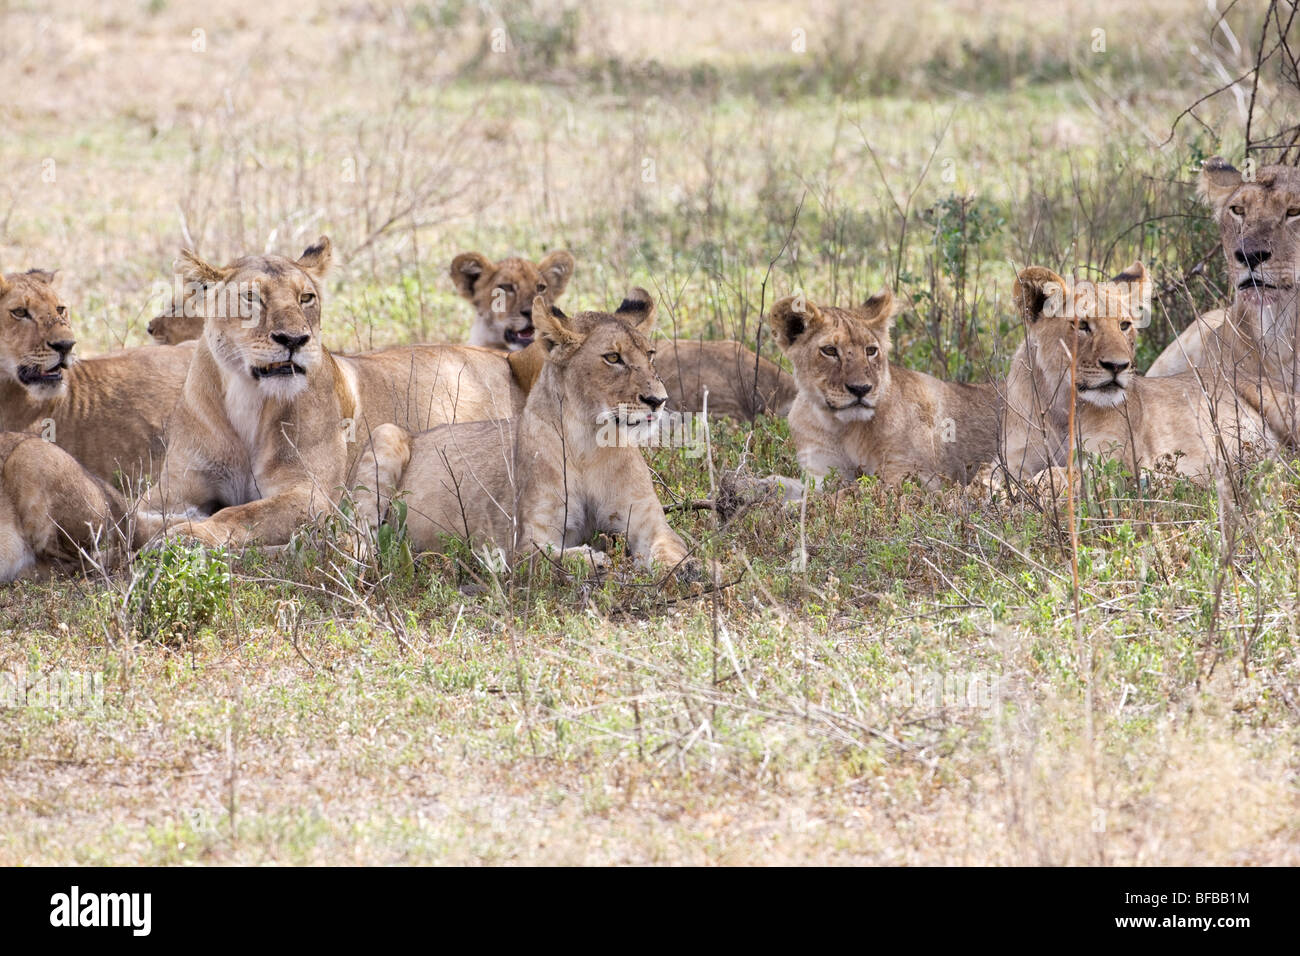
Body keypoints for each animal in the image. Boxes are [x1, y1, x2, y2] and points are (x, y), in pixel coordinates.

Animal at [144, 237, 548, 548]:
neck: (248, 396)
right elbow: (140, 517)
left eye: (306, 298)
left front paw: (190, 533)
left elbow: (240, 513)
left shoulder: (312, 495)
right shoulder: (171, 489)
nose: (295, 339)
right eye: (251, 298)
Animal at [349, 289, 701, 578]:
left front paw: (688, 569)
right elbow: (551, 559)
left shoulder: (649, 523)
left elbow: (673, 550)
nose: (658, 400)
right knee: (353, 540)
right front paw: (594, 559)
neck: (590, 444)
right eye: (613, 358)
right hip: (386, 434)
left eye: (650, 354)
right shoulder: (523, 541)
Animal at [769, 290, 1000, 489]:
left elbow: (852, 494)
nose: (860, 389)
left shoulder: (914, 477)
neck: (841, 428)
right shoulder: (822, 471)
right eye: (830, 350)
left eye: (871, 351)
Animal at [1000, 262, 1276, 485]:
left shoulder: (1113, 464)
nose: (1118, 366)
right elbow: (997, 486)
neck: (1059, 407)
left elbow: (1055, 476)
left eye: (1124, 325)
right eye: (1082, 326)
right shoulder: (1012, 460)